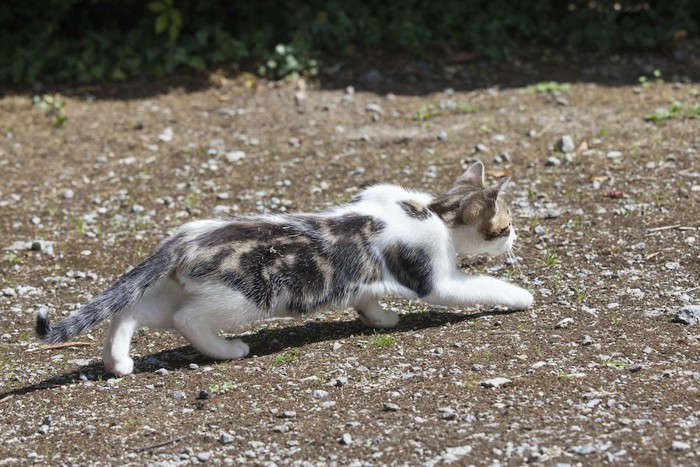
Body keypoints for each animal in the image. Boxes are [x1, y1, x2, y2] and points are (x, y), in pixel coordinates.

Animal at [35, 162, 532, 376]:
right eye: (505, 227)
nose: (517, 238)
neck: (430, 211)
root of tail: (185, 237)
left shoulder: (366, 274)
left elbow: (366, 294)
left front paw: (380, 318)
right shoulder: (434, 277)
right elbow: (480, 285)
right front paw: (520, 296)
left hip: (179, 288)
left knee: (130, 311)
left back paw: (118, 361)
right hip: (242, 297)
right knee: (186, 319)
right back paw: (229, 350)